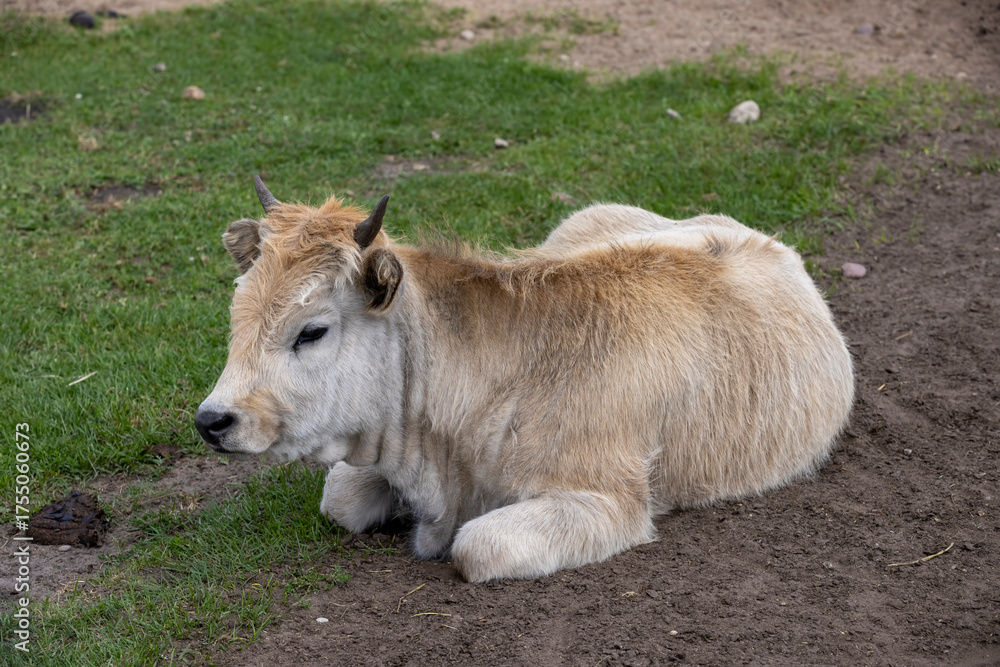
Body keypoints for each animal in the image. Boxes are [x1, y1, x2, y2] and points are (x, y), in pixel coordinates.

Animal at [194, 178, 854, 582]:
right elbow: (339, 498)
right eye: (236, 314)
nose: (212, 419)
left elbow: (479, 546)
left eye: (312, 331)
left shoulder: (611, 500)